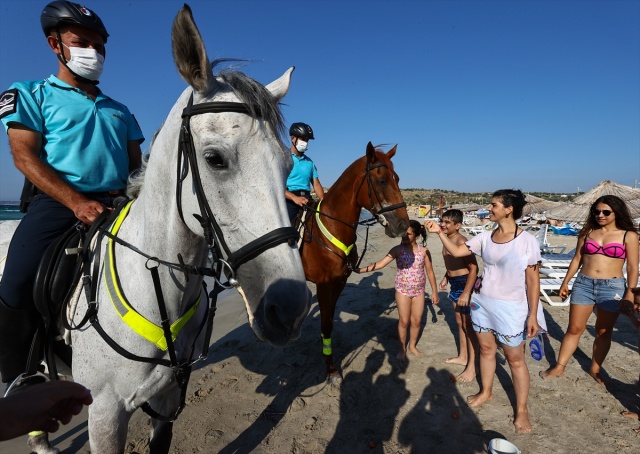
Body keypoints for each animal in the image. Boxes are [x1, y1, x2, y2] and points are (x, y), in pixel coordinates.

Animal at [16, 4, 312, 454]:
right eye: (214, 159)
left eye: (286, 163)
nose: (290, 310)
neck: (157, 286)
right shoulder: (104, 415)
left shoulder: (169, 396)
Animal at [300, 144, 410, 378]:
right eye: (382, 180)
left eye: (397, 178)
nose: (403, 225)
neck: (332, 228)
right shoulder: (324, 285)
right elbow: (326, 324)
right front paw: (331, 368)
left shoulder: (339, 282)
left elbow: (329, 321)